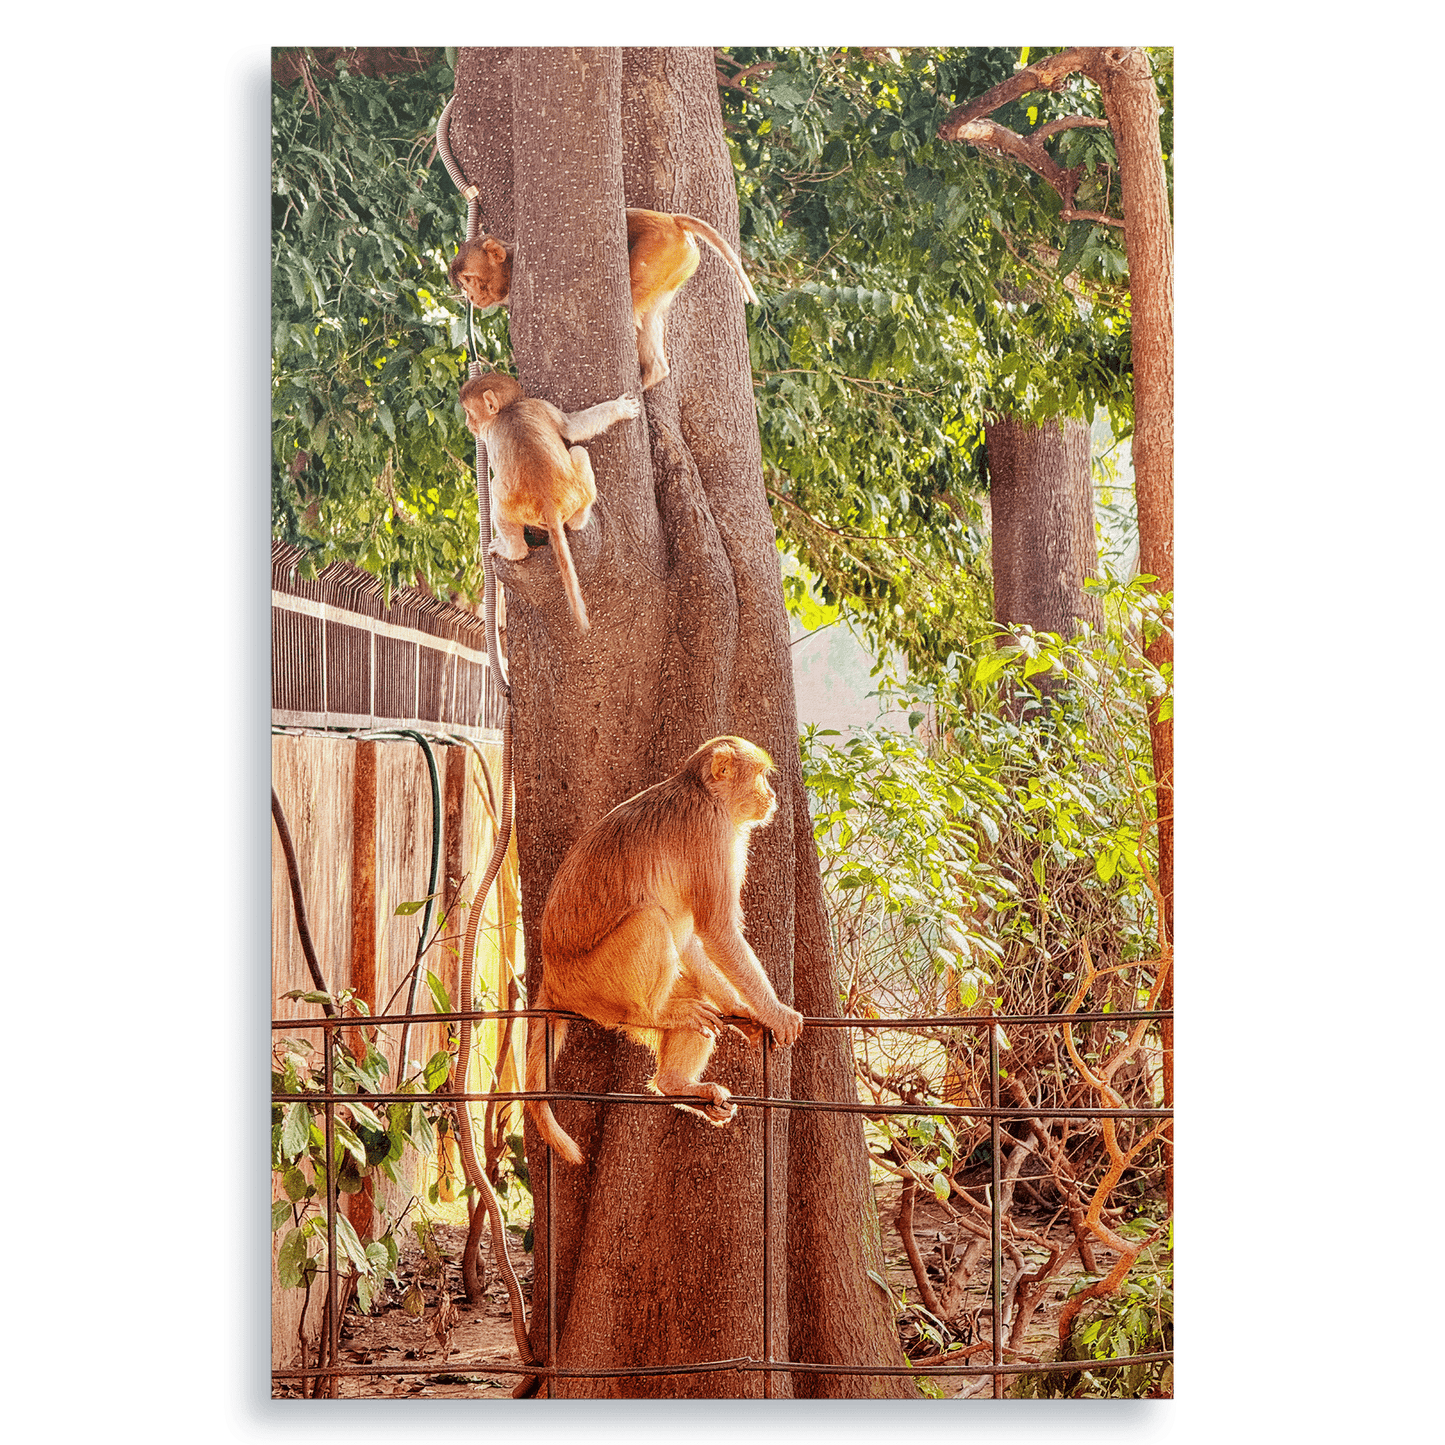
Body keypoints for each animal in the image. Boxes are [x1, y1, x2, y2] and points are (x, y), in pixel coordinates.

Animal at [448, 208, 760, 390]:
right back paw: (654, 373)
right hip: (677, 265)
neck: (510, 265)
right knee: (651, 315)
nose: (470, 295)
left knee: (633, 301)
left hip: (658, 250)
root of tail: (672, 220)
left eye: (469, 280)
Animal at [459, 372, 640, 632]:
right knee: (578, 452)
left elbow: (571, 428)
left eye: (469, 412)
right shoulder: (539, 406)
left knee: (499, 488)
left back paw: (512, 550)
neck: (508, 409)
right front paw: (621, 408)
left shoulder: (505, 423)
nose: (468, 424)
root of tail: (548, 503)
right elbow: (571, 428)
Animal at [525, 736, 805, 1166]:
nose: (771, 795)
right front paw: (775, 1012)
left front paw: (743, 1011)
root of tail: (553, 977)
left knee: (694, 992)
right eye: (760, 775)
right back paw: (654, 1013)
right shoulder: (710, 832)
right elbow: (716, 931)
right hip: (596, 984)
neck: (705, 793)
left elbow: (690, 940)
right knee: (651, 920)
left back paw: (675, 1084)